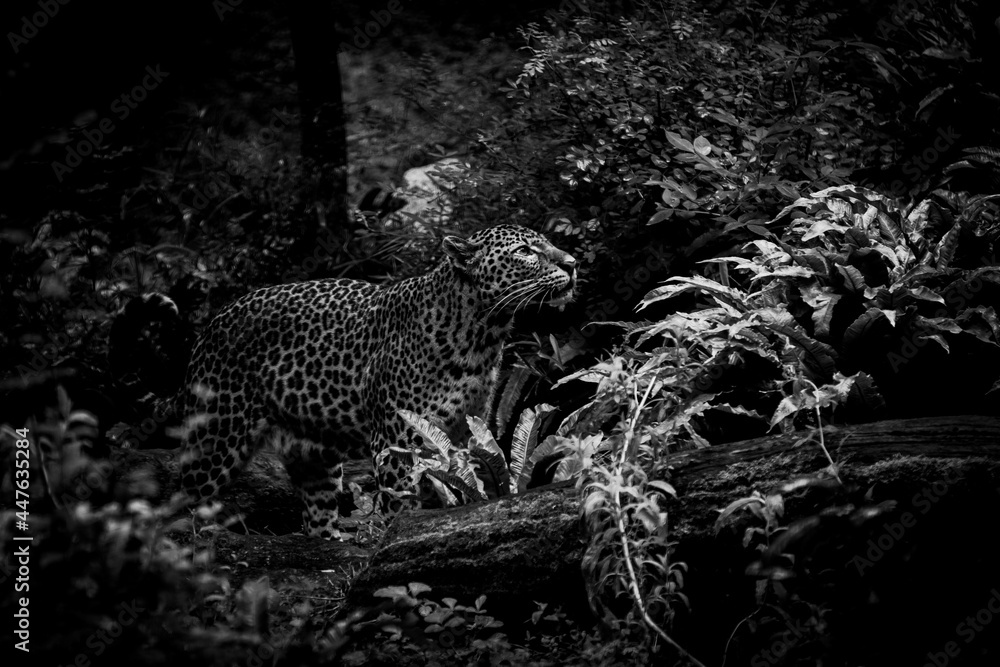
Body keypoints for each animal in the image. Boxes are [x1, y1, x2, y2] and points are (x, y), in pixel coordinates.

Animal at [172, 224, 576, 539]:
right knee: (186, 499)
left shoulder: (461, 434)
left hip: (315, 455)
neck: (481, 336)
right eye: (524, 251)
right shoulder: (397, 440)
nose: (572, 263)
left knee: (317, 516)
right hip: (218, 437)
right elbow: (403, 507)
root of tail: (212, 322)